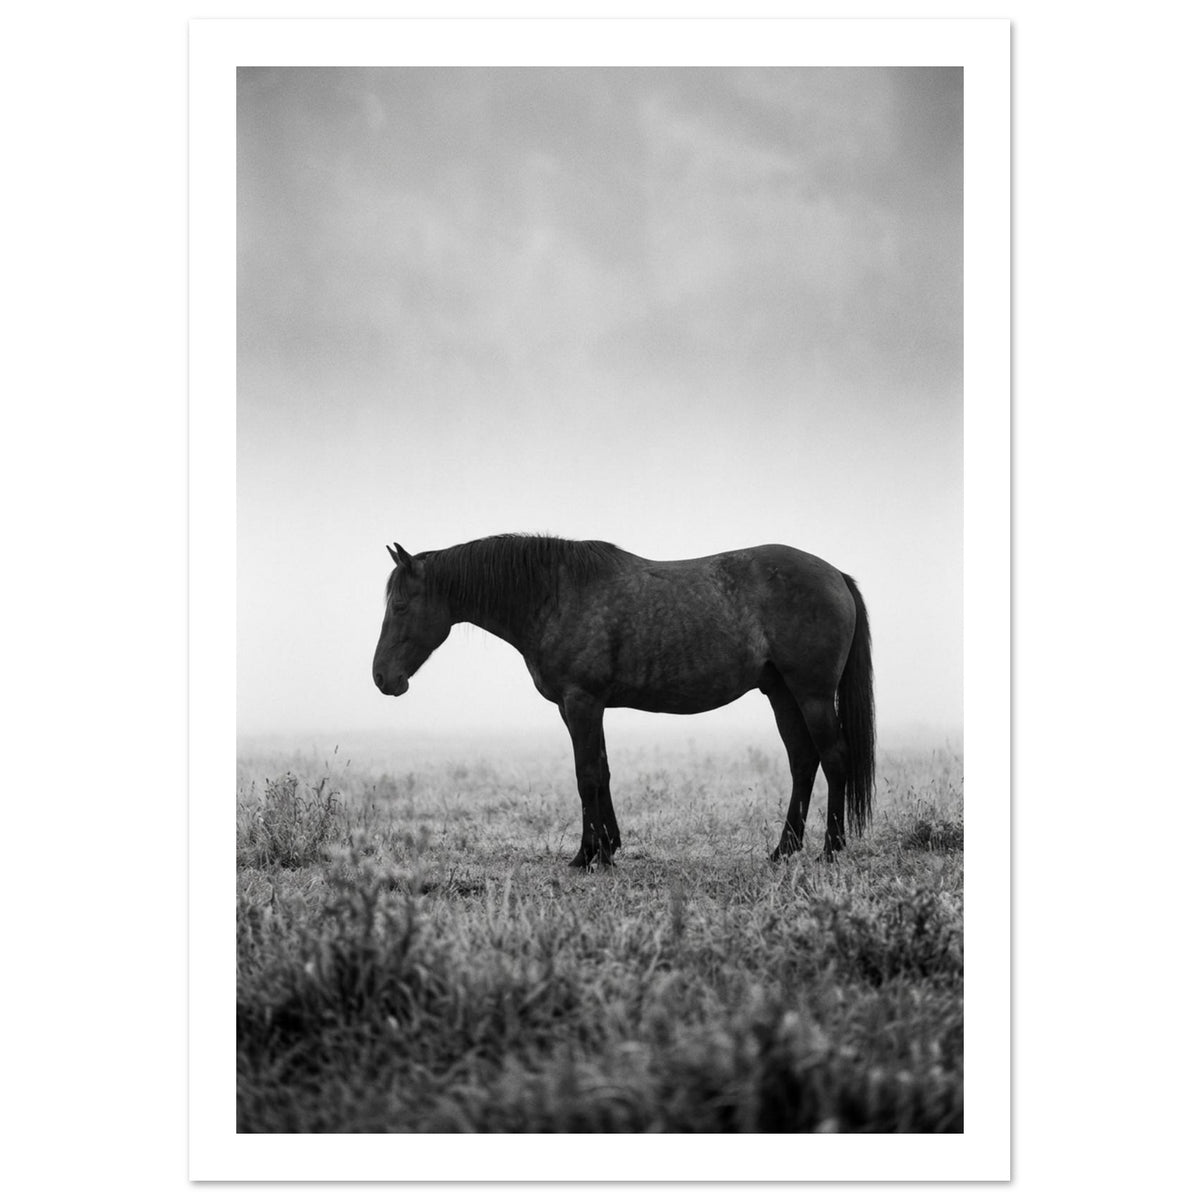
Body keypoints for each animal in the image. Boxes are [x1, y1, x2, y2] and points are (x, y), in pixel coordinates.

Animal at [372, 534, 874, 868]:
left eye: (399, 606)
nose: (382, 678)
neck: (554, 595)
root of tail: (836, 575)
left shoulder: (581, 702)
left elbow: (587, 775)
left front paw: (587, 856)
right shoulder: (580, 707)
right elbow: (603, 771)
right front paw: (607, 847)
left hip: (811, 694)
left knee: (834, 758)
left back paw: (831, 849)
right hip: (782, 694)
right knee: (803, 761)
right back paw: (783, 849)